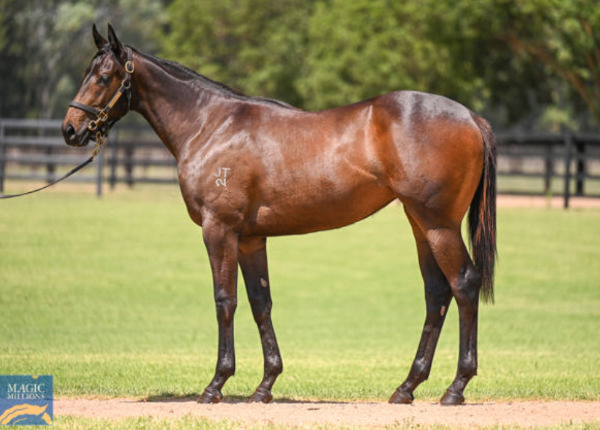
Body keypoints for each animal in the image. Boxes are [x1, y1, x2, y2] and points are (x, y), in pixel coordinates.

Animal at [62, 25, 496, 404]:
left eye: (103, 77)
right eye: (86, 73)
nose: (70, 129)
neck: (210, 125)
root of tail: (471, 117)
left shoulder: (219, 230)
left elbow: (225, 301)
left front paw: (216, 384)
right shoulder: (251, 239)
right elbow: (260, 303)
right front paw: (265, 385)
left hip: (439, 225)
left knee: (464, 284)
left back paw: (456, 388)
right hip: (421, 225)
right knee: (436, 293)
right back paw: (407, 387)